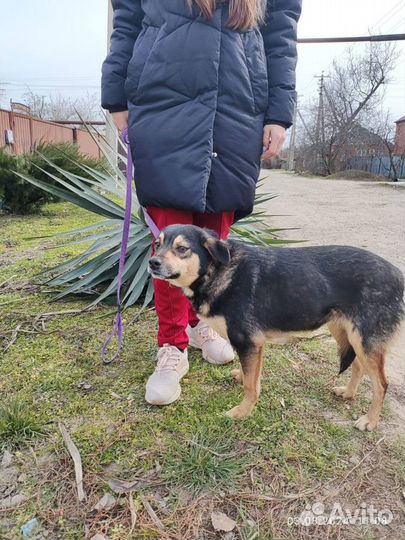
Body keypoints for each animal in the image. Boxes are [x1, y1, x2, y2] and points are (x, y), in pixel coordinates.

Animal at [148, 224, 404, 430]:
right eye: (157, 244)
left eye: (182, 249)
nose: (152, 262)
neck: (218, 271)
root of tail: (399, 275)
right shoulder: (254, 345)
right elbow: (251, 377)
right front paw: (242, 380)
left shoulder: (248, 343)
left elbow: (251, 387)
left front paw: (242, 412)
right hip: (347, 334)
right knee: (359, 367)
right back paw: (348, 393)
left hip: (365, 341)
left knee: (381, 384)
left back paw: (370, 421)